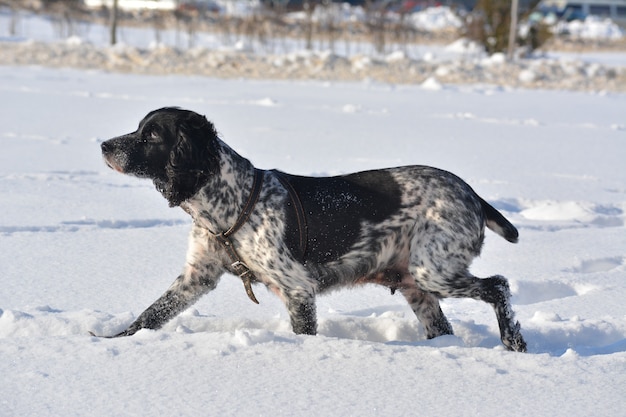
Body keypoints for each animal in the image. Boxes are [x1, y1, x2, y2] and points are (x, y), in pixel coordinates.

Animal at [100, 107, 524, 352]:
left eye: (152, 135)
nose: (104, 145)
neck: (231, 201)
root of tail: (472, 193)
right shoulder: (196, 277)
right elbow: (148, 316)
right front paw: (107, 344)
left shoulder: (297, 288)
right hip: (417, 286)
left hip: (432, 270)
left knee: (499, 285)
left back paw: (514, 342)